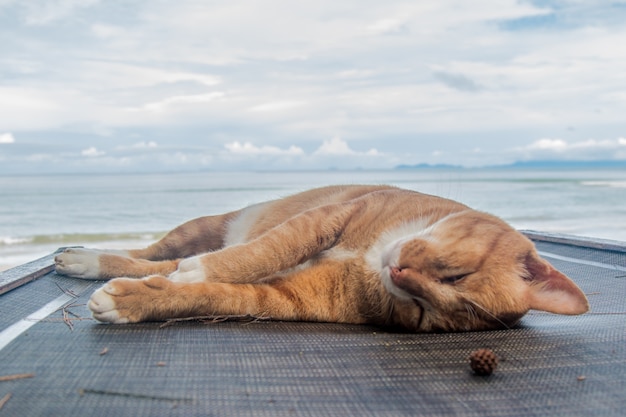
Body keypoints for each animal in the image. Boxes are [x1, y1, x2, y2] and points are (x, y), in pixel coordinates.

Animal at [53, 185, 584, 332]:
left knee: (156, 266)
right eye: (457, 273)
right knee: (152, 254)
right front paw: (202, 268)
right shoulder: (325, 219)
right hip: (202, 225)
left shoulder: (286, 297)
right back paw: (86, 259)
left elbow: (210, 294)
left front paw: (135, 302)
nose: (397, 273)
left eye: (423, 314)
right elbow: (265, 250)